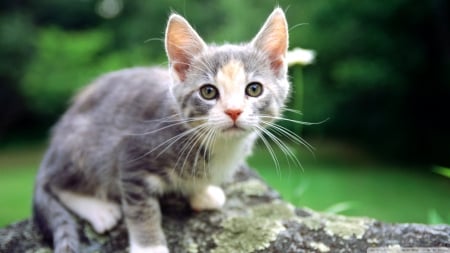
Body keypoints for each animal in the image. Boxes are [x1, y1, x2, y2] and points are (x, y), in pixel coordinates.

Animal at [33, 7, 290, 253]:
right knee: (56, 183)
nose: (234, 111)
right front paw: (150, 246)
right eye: (208, 92)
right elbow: (142, 209)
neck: (220, 145)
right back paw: (100, 210)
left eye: (254, 89)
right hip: (87, 146)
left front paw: (202, 193)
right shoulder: (132, 154)